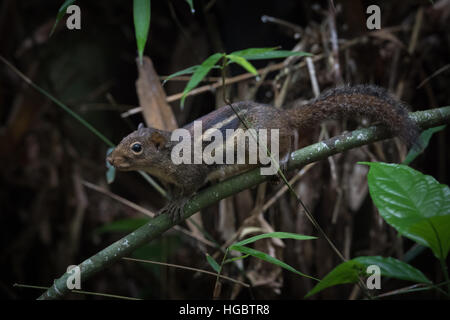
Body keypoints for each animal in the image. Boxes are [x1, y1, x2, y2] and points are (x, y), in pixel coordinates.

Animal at [107, 85, 420, 222]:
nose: (110, 159)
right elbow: (172, 192)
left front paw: (181, 202)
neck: (166, 159)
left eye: (136, 148)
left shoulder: (191, 170)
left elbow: (193, 185)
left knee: (290, 139)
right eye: (122, 139)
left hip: (264, 139)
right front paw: (167, 204)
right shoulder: (171, 179)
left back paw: (281, 159)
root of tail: (284, 115)